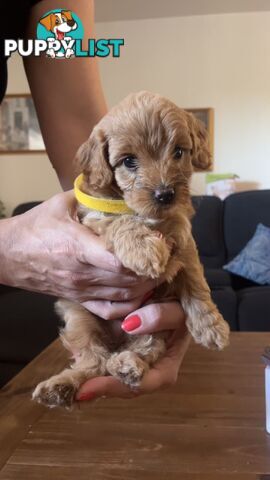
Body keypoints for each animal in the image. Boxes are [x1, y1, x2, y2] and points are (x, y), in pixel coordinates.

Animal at [32, 91, 229, 408]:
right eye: (128, 161)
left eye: (178, 152)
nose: (165, 194)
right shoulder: (94, 219)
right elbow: (120, 222)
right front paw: (143, 249)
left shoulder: (183, 240)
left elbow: (196, 283)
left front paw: (212, 327)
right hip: (79, 316)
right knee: (94, 360)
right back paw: (61, 385)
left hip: (148, 321)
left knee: (141, 347)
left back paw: (127, 365)